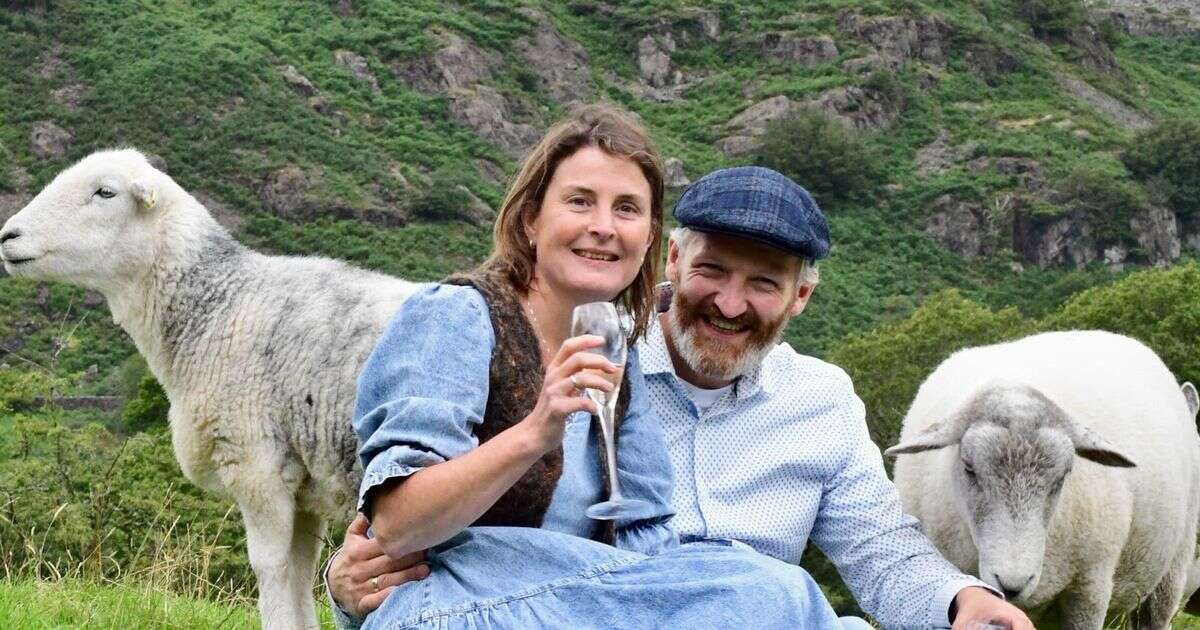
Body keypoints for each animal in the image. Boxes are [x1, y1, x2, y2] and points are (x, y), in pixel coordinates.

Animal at [0, 148, 422, 628]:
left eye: (105, 192)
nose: (8, 235)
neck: (218, 305)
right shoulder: (302, 482)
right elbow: (301, 573)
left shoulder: (256, 463)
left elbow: (272, 569)